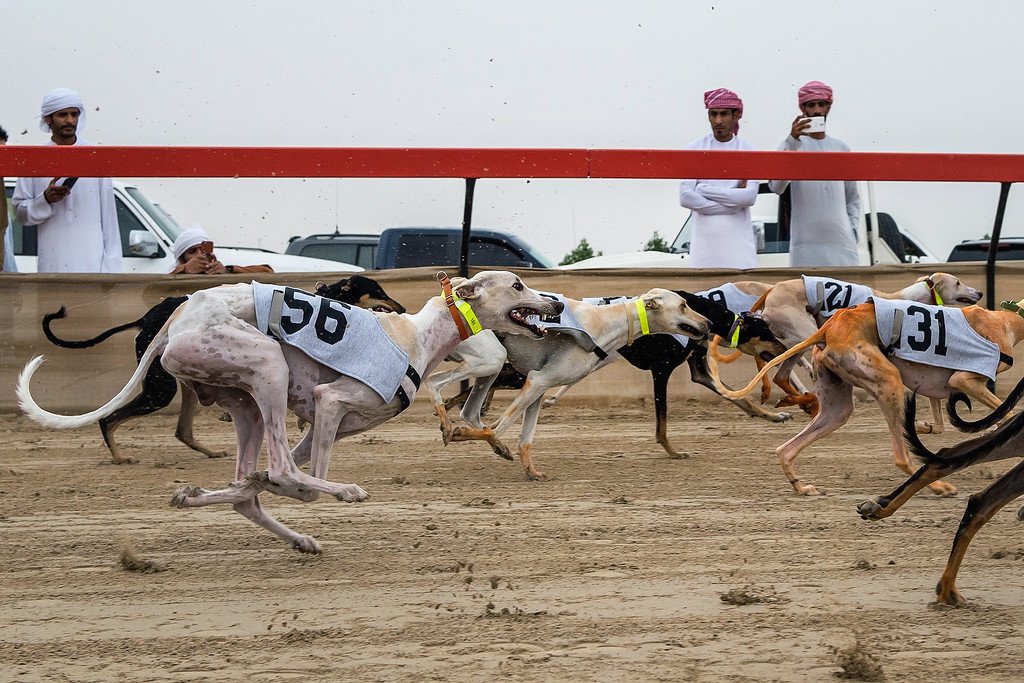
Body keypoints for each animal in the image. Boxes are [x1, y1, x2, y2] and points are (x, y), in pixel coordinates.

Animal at [43, 274, 403, 462]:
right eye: (379, 291)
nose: (400, 306)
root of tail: (147, 317)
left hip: (183, 383)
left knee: (182, 430)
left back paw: (211, 449)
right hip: (161, 388)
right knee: (109, 419)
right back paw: (119, 456)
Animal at [444, 288, 786, 458]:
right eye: (768, 330)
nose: (784, 346)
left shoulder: (699, 370)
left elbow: (739, 398)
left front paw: (773, 415)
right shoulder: (661, 370)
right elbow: (662, 422)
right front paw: (673, 451)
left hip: (511, 371)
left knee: (473, 396)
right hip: (509, 368)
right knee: (473, 396)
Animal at [708, 299, 1024, 497]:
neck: (1006, 321)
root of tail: (828, 327)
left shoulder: (934, 386)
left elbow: (938, 423)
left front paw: (920, 426)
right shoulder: (963, 380)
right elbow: (1006, 413)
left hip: (837, 408)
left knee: (785, 449)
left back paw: (802, 487)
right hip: (889, 382)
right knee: (900, 457)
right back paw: (938, 487)